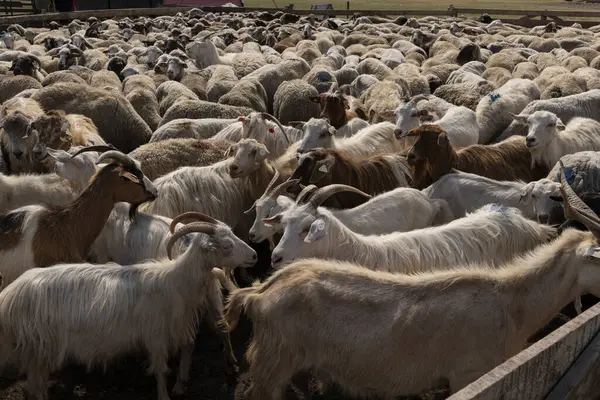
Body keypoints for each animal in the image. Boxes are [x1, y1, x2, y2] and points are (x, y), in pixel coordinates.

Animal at [0, 212, 255, 400]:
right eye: (226, 246)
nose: (254, 256)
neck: (175, 279)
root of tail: (10, 295)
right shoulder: (156, 334)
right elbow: (160, 371)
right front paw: (164, 395)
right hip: (39, 345)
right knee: (33, 385)